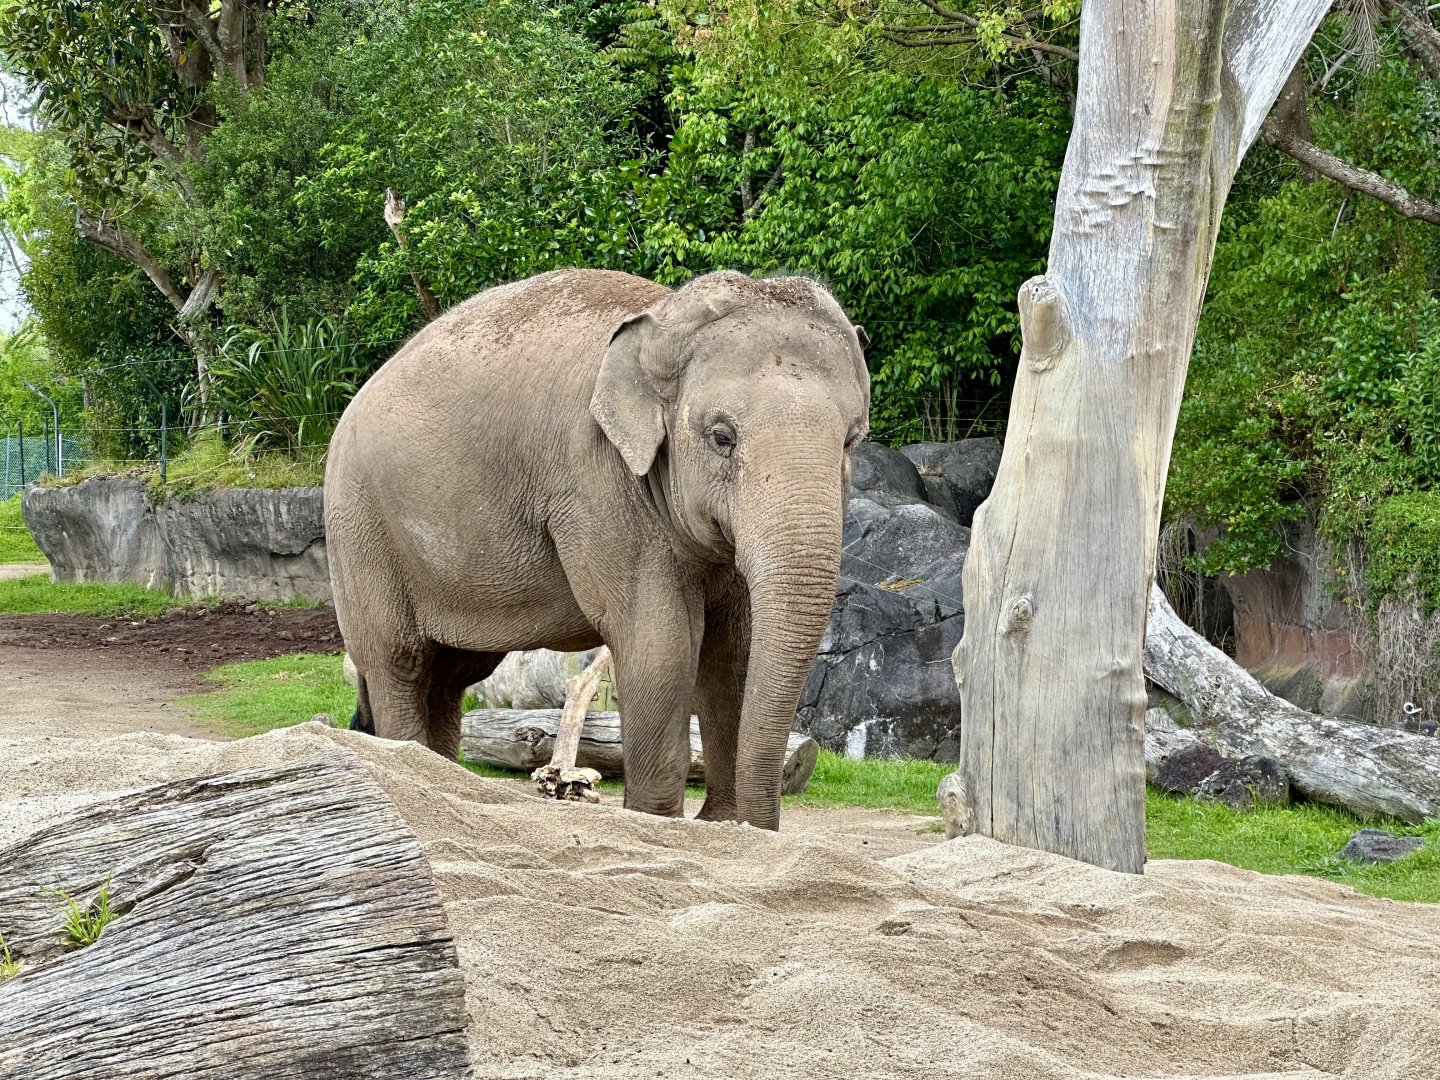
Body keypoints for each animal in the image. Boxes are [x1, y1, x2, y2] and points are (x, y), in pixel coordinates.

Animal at [324, 268, 869, 829]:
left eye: (852, 439)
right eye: (721, 436)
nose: (749, 824)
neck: (663, 320)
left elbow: (732, 648)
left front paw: (719, 825)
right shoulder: (597, 482)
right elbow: (659, 641)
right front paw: (657, 821)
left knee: (452, 675)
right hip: (360, 528)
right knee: (399, 662)